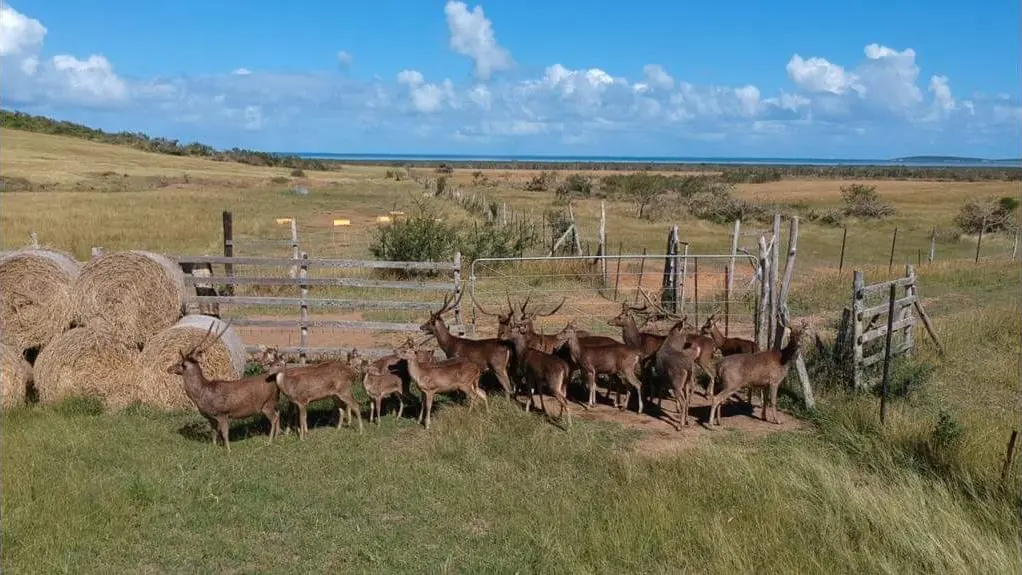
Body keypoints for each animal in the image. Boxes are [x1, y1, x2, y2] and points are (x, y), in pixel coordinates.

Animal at [166, 318, 282, 449]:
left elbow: (225, 433)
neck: (202, 393)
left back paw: (270, 441)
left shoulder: (222, 413)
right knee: (278, 413)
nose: (169, 368)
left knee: (274, 418)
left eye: (182, 364)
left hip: (267, 403)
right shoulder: (210, 417)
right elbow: (214, 432)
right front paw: (214, 447)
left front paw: (228, 450)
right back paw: (277, 436)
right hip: (273, 402)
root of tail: (275, 379)